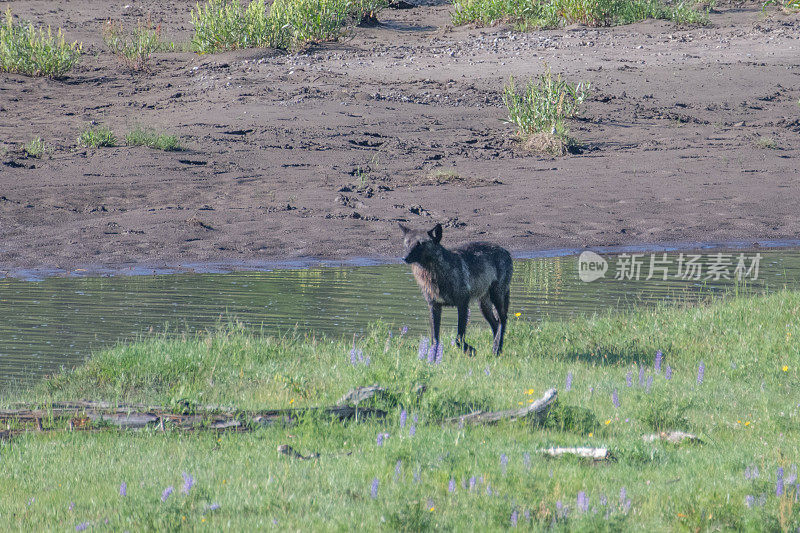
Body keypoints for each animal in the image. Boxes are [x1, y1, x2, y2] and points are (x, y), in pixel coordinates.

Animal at [400, 222, 512, 356]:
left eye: (419, 244)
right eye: (407, 243)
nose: (404, 258)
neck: (435, 274)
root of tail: (506, 251)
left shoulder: (463, 304)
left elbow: (459, 337)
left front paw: (470, 350)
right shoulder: (434, 306)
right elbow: (435, 339)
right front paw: (433, 357)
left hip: (497, 297)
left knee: (503, 320)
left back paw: (496, 349)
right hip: (484, 306)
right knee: (495, 324)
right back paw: (496, 349)